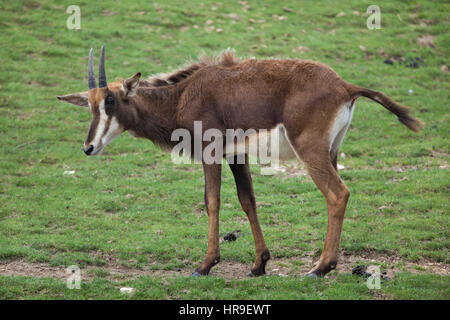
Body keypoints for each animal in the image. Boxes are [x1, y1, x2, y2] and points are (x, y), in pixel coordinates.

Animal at [58, 45, 424, 278]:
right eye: (89, 104)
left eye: (110, 101)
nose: (89, 147)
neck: (183, 95)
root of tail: (345, 86)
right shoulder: (236, 155)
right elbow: (248, 200)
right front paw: (259, 264)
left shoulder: (210, 152)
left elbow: (212, 201)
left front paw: (205, 265)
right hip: (332, 152)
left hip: (311, 152)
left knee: (337, 194)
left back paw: (320, 268)